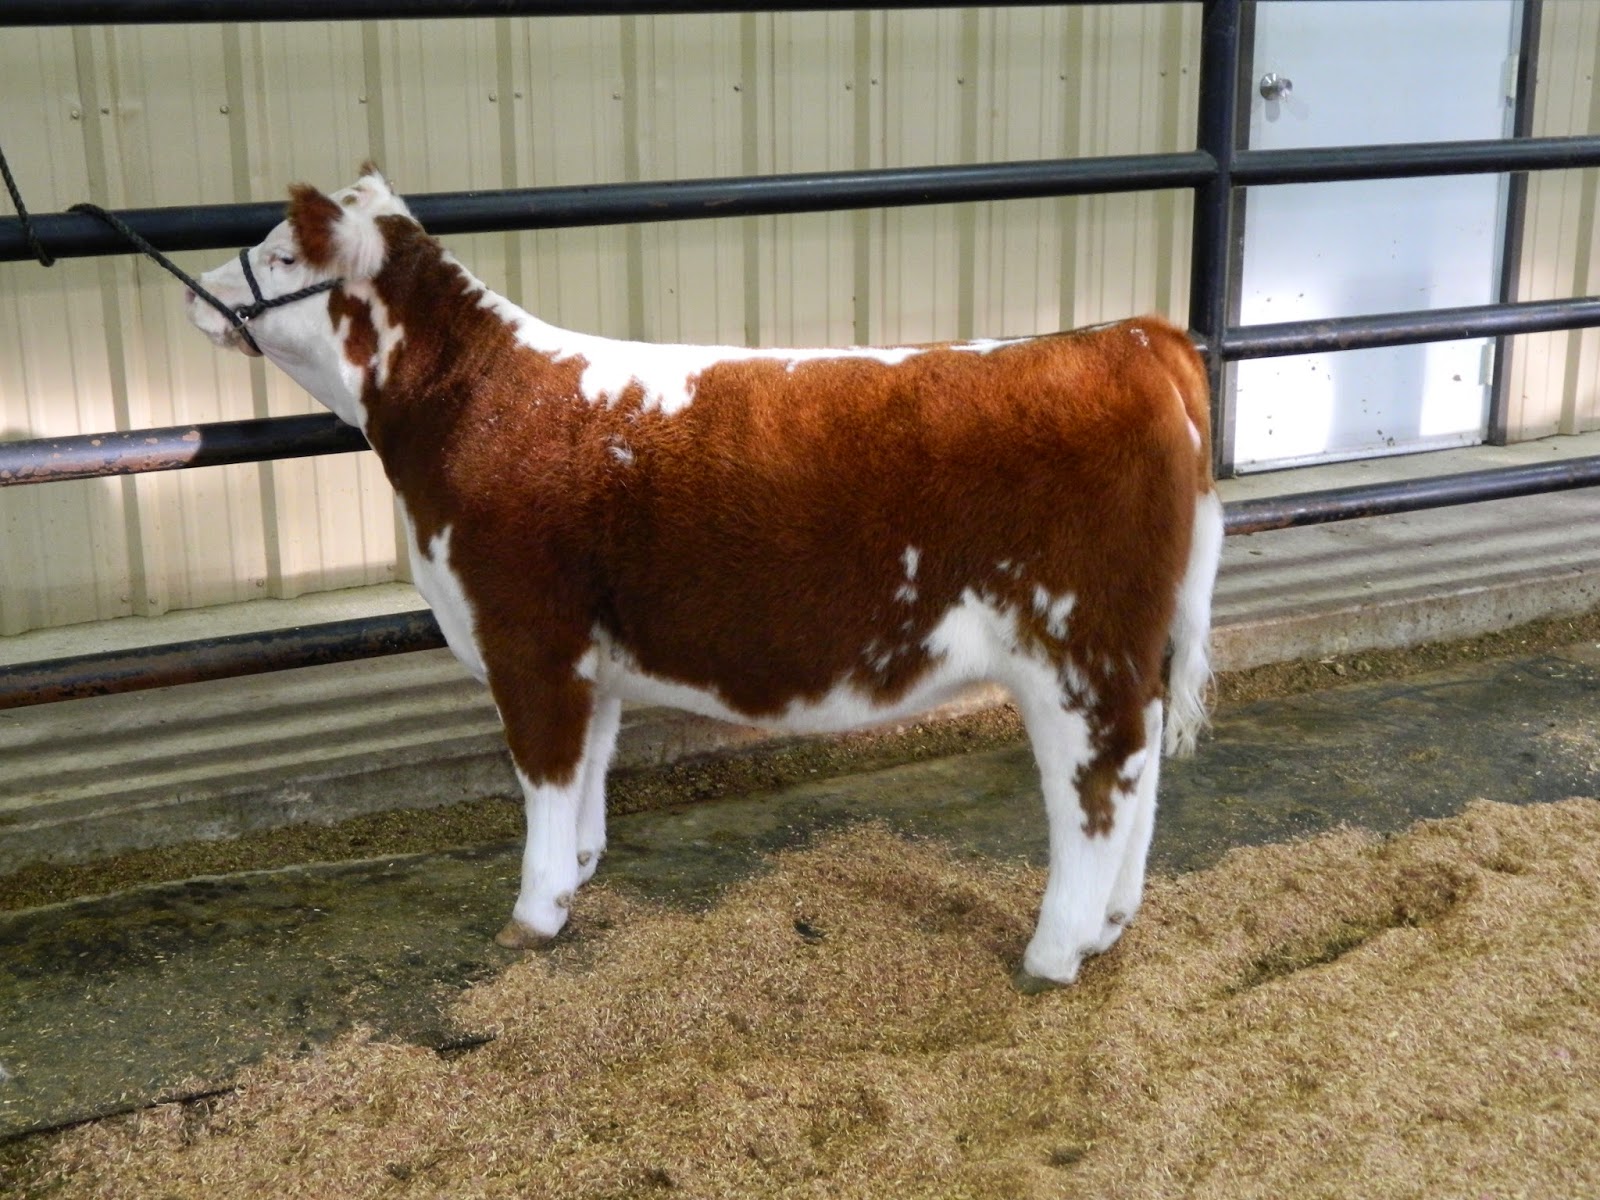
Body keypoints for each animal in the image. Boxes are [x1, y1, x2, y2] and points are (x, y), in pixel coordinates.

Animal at [186, 166, 1224, 989]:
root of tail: (1129, 339)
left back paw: (1058, 950)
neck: (474, 405)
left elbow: (544, 774)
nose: (196, 293)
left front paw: (534, 913)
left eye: (283, 254)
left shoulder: (528, 640)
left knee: (1101, 786)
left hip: (1075, 649)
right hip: (1128, 650)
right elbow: (589, 766)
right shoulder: (589, 658)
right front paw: (580, 872)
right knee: (1141, 769)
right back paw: (1113, 924)